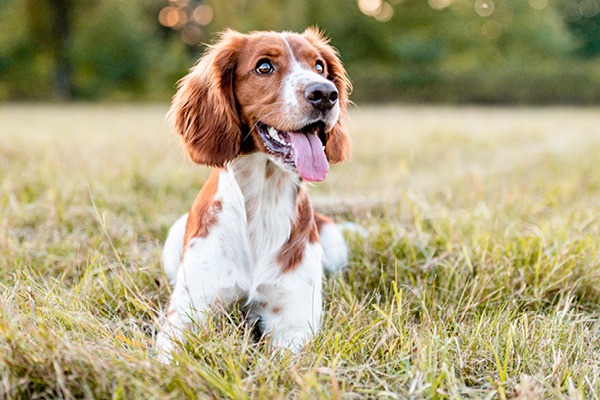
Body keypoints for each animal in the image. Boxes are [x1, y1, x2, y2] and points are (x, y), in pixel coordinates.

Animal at [155, 28, 352, 360]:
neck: (263, 199)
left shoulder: (294, 321)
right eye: (264, 67)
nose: (325, 93)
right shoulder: (187, 312)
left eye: (319, 66)